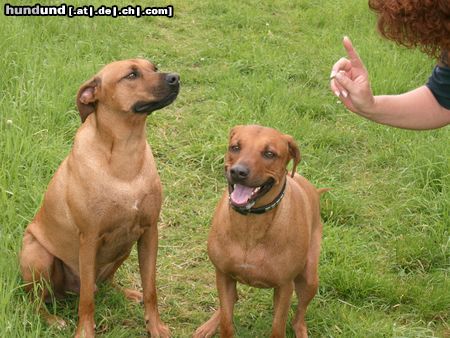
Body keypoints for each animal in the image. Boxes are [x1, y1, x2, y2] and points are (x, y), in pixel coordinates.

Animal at [20, 58, 179, 338]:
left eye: (154, 67)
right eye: (131, 75)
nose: (176, 78)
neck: (125, 153)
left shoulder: (149, 231)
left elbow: (151, 288)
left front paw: (155, 326)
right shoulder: (89, 238)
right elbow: (86, 300)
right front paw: (84, 331)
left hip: (125, 246)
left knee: (104, 283)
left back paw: (125, 293)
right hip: (37, 255)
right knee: (39, 300)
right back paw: (52, 319)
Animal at [195, 125, 326, 338]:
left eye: (269, 153)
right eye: (235, 147)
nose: (238, 171)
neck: (250, 224)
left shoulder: (284, 286)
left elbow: (278, 328)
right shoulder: (223, 274)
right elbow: (226, 322)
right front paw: (219, 324)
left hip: (309, 278)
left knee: (299, 318)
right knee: (231, 301)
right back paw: (209, 325)